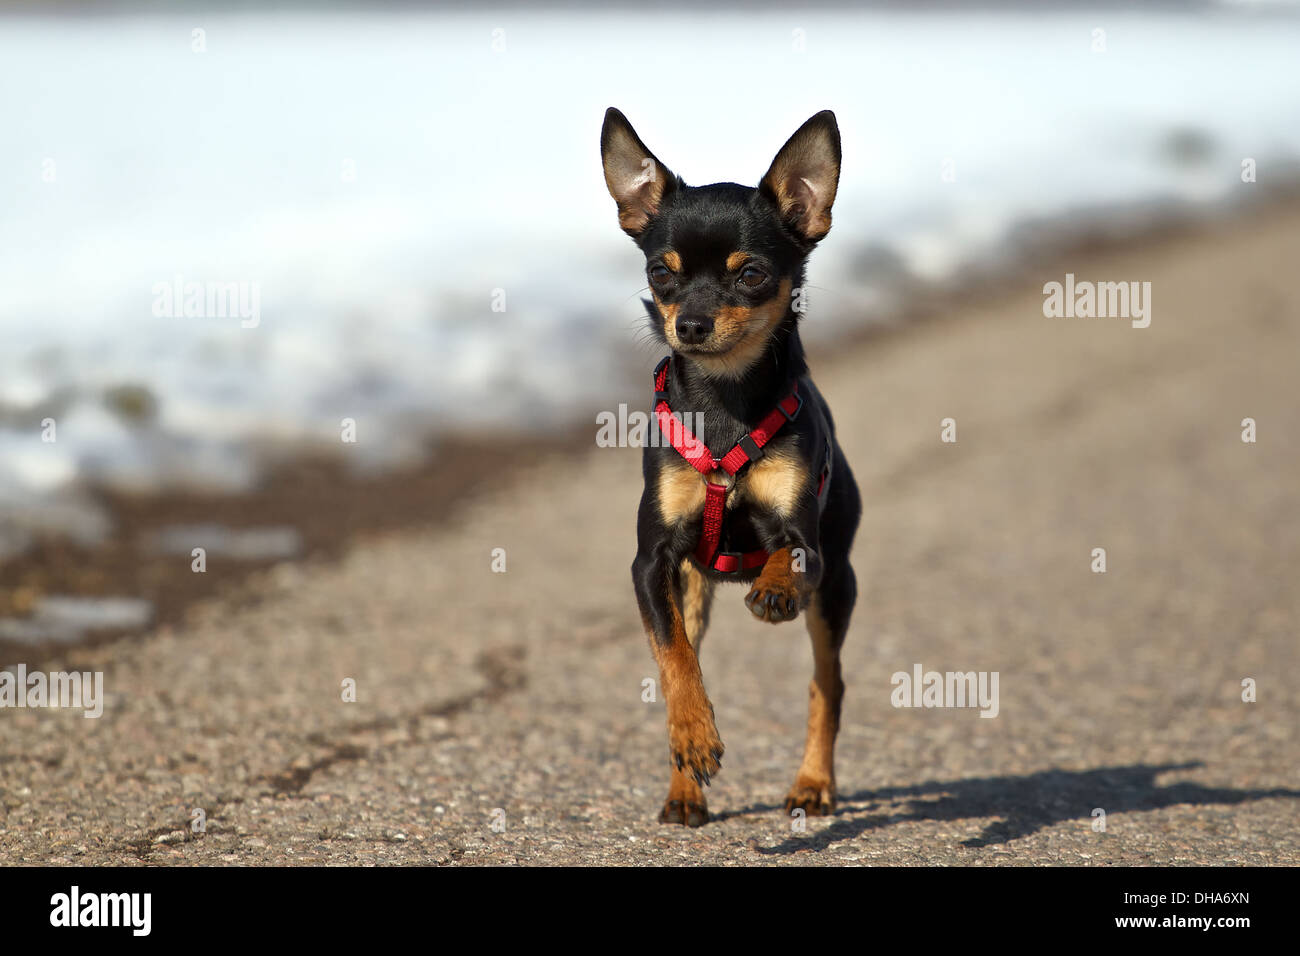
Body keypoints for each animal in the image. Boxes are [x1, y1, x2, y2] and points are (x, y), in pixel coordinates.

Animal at [600, 102, 863, 822]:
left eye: (751, 275)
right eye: (661, 273)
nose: (689, 324)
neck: (723, 405)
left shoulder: (805, 542)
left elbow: (787, 555)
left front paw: (771, 587)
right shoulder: (651, 565)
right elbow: (675, 664)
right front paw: (695, 736)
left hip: (837, 589)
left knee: (826, 685)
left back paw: (813, 782)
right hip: (690, 589)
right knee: (685, 656)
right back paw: (684, 788)